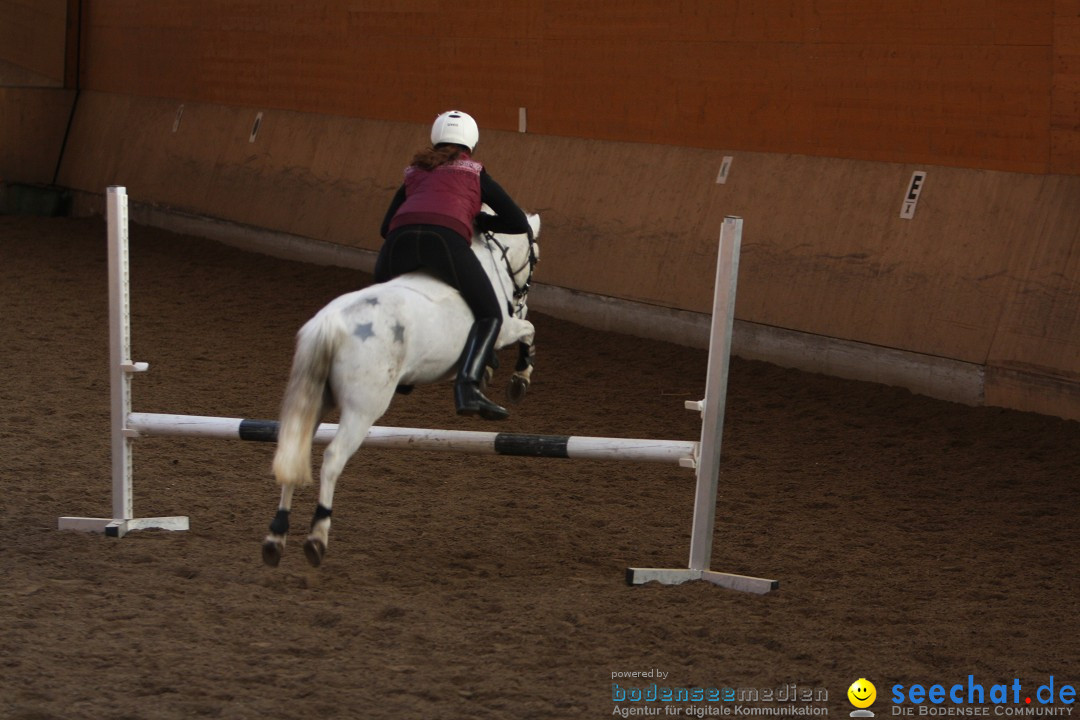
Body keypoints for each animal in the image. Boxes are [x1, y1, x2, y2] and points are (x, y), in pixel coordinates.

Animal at [261, 213, 540, 569]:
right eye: (534, 257)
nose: (521, 301)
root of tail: (330, 324)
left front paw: (490, 371)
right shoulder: (503, 327)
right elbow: (528, 331)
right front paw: (519, 379)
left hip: (315, 399)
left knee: (295, 449)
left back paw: (276, 535)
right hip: (363, 410)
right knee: (333, 458)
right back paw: (317, 535)